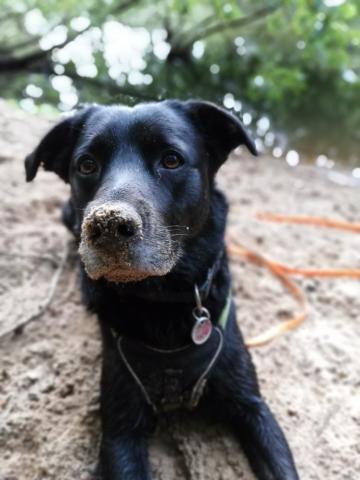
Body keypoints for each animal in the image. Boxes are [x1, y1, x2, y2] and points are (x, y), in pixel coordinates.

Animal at [25, 99, 300, 478]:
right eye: (86, 165)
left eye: (171, 160)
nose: (108, 225)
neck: (161, 302)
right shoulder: (120, 430)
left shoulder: (253, 406)